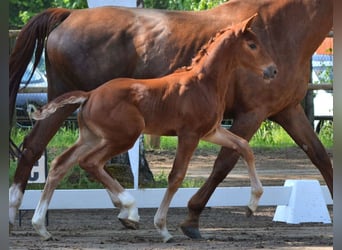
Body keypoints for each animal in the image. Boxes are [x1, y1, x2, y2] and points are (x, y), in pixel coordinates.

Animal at [31, 14, 278, 243]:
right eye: (252, 45)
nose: (273, 70)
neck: (203, 83)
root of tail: (89, 94)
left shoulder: (211, 131)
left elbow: (244, 147)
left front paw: (252, 204)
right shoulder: (189, 134)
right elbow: (176, 176)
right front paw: (162, 228)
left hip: (91, 137)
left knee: (61, 164)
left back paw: (41, 227)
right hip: (124, 137)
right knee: (90, 162)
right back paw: (130, 209)